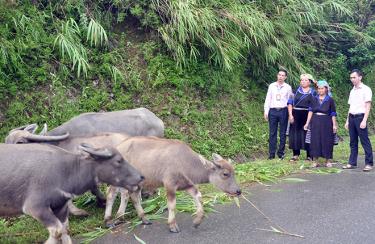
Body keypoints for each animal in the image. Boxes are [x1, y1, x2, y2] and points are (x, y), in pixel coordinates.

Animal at [0, 143, 144, 244]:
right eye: (118, 161)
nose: (141, 176)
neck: (67, 171)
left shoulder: (61, 206)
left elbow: (65, 230)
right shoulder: (35, 207)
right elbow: (57, 232)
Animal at [104, 136, 242, 234]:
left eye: (234, 172)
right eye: (225, 174)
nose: (238, 191)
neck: (185, 162)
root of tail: (118, 147)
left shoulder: (188, 185)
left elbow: (199, 198)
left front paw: (197, 221)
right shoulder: (169, 185)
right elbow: (172, 205)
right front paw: (172, 225)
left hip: (137, 182)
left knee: (132, 196)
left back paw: (143, 219)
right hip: (116, 178)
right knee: (111, 194)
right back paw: (108, 221)